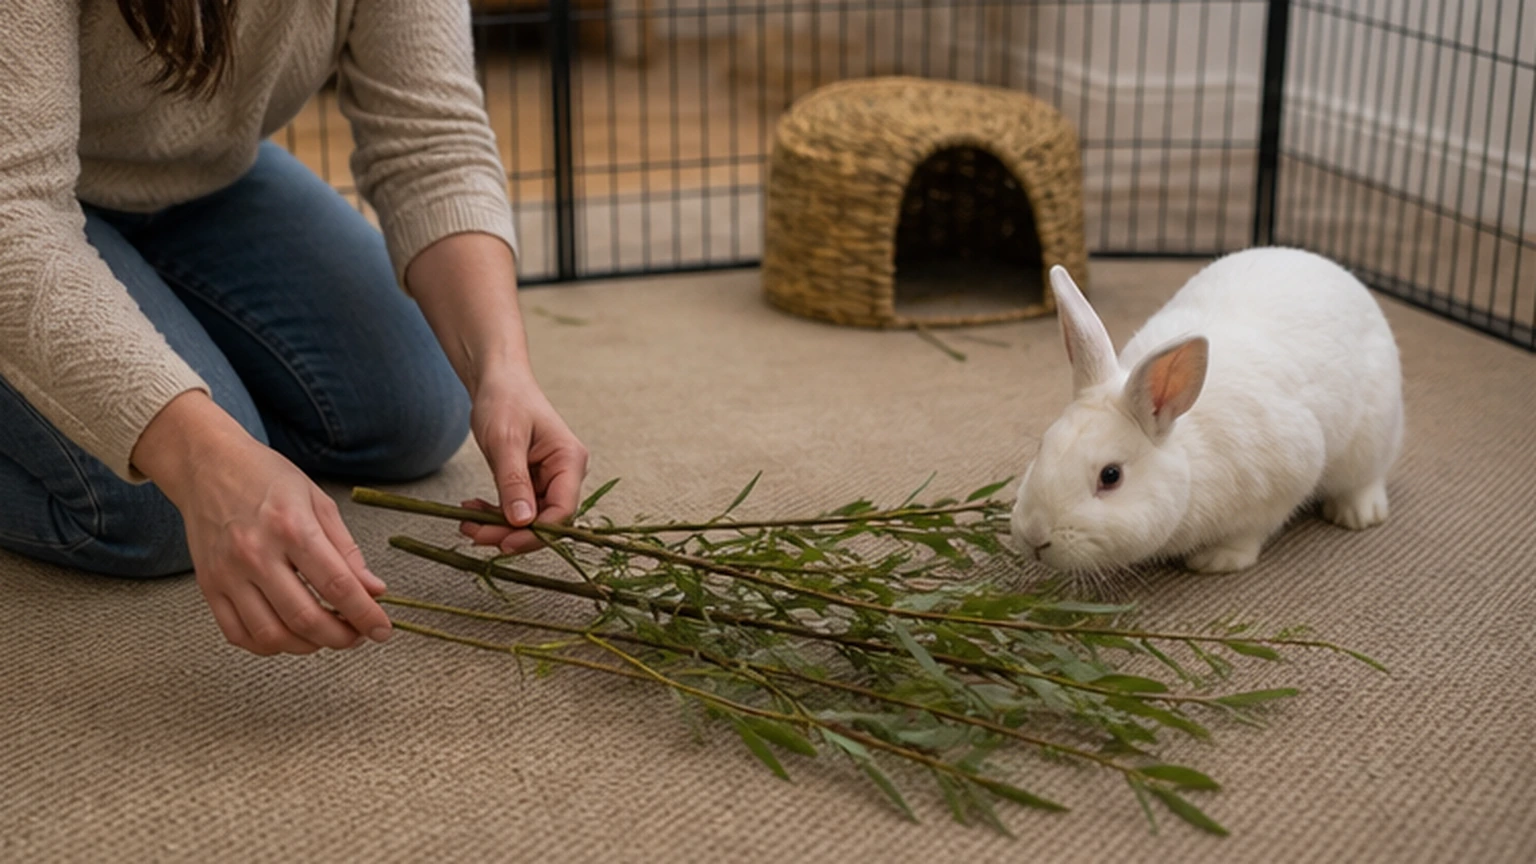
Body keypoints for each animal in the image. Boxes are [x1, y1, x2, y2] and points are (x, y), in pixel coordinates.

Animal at [1008, 248, 1404, 577]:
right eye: (1042, 446)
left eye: (1111, 476)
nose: (1035, 535)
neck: (1188, 455)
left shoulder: (1288, 477)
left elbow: (1252, 530)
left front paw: (1217, 560)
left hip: (1371, 436)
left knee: (1369, 475)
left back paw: (1358, 514)